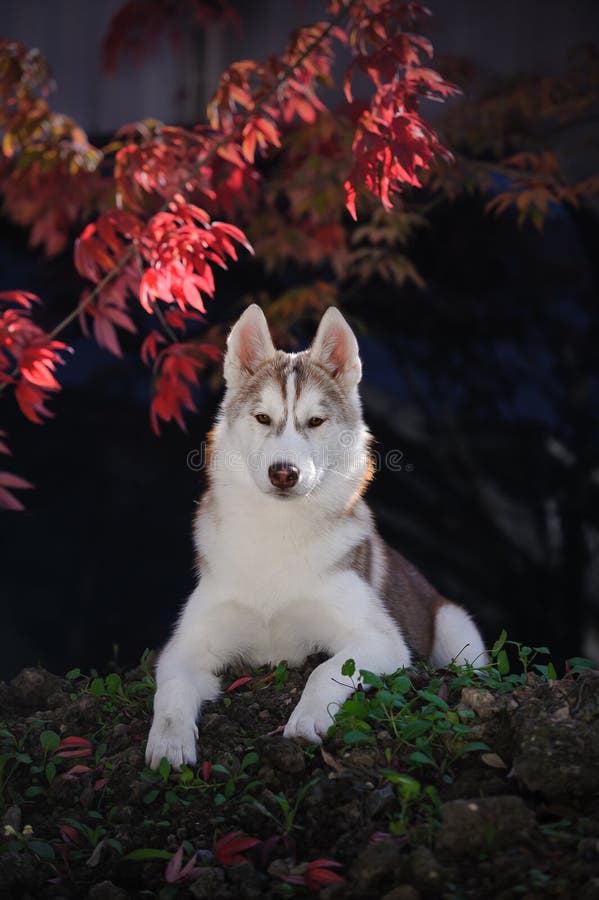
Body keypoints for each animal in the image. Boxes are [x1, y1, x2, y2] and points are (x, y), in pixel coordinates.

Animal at [146, 304, 488, 768]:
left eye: (315, 421)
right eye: (263, 418)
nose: (284, 473)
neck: (277, 534)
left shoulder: (379, 640)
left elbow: (326, 670)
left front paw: (306, 719)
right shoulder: (187, 645)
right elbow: (171, 690)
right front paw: (168, 742)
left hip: (455, 624)